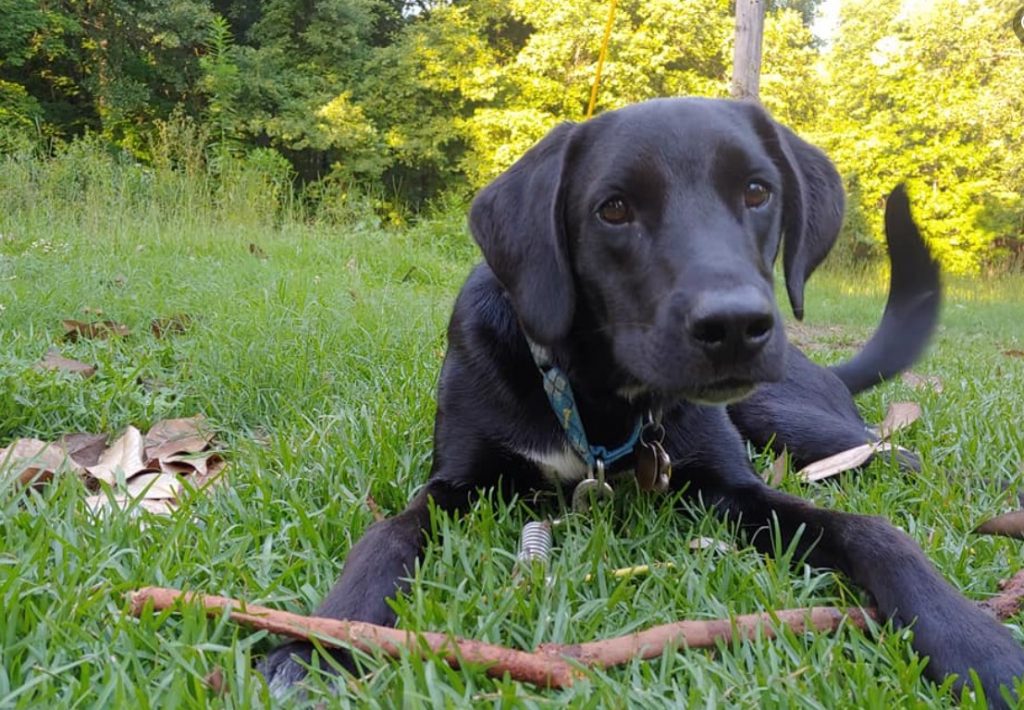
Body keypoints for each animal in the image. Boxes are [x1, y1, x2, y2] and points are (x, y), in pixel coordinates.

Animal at [262, 98, 1024, 704]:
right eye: (614, 208)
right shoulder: (459, 482)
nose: (736, 326)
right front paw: (314, 644)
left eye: (757, 191)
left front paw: (977, 642)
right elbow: (384, 535)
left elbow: (877, 532)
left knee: (903, 461)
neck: (595, 395)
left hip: (787, 416)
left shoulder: (730, 489)